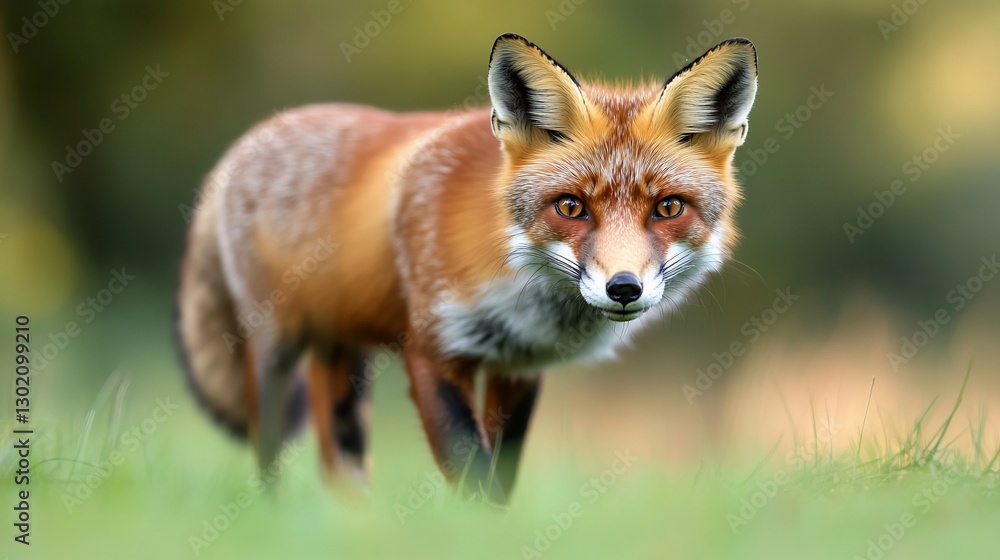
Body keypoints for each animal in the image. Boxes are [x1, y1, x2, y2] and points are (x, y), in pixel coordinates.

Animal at [176, 33, 758, 503]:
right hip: (276, 349)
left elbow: (502, 475)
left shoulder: (517, 366)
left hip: (346, 362)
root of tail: (244, 145)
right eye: (570, 207)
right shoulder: (434, 349)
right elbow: (473, 473)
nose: (623, 288)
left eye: (668, 207)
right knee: (270, 452)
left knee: (339, 467)